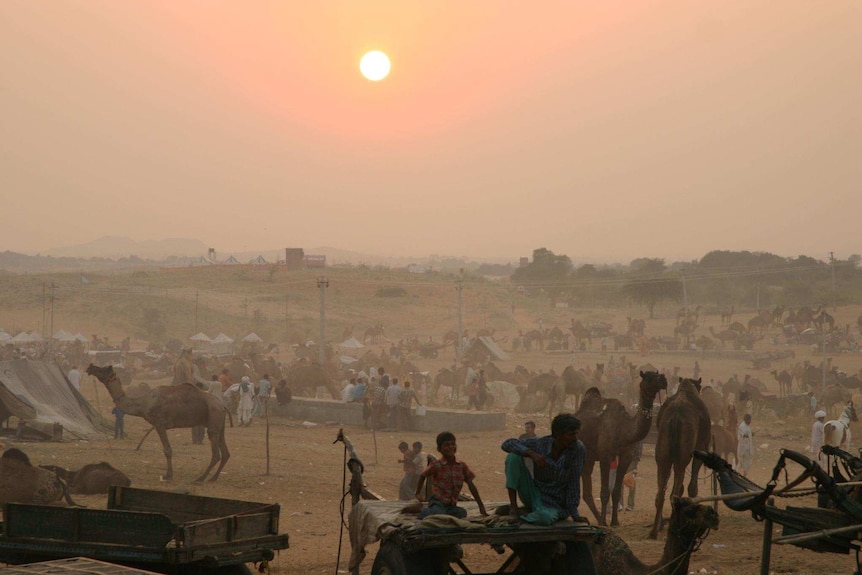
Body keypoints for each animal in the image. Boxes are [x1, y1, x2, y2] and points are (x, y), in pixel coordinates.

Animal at [86, 364, 231, 482]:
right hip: (219, 423)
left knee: (216, 453)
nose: (90, 367)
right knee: (225, 452)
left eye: (103, 369)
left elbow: (167, 450)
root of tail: (222, 406)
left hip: (214, 418)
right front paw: (168, 474)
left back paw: (201, 478)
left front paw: (168, 476)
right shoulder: (159, 425)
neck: (143, 404)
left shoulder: (159, 424)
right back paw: (213, 478)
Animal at [576, 372, 672, 528]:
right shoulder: (605, 457)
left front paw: (614, 521)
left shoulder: (626, 455)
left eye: (658, 374)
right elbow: (604, 492)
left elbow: (615, 491)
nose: (663, 380)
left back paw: (596, 518)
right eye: (648, 377)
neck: (624, 429)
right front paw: (604, 522)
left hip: (589, 458)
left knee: (587, 492)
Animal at [652, 378, 712, 540]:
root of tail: (675, 418)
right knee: (674, 493)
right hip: (683, 454)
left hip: (662, 453)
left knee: (661, 492)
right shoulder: (701, 446)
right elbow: (692, 487)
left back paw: (653, 531)